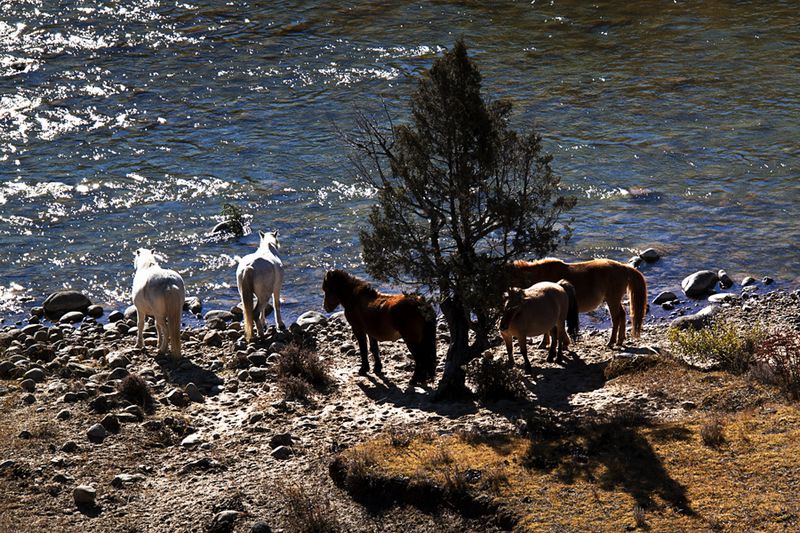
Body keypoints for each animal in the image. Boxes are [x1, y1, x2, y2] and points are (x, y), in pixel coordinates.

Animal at [510, 256, 648, 344]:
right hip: (613, 299)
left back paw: (611, 341)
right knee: (622, 314)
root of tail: (624, 268)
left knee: (616, 318)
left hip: (612, 299)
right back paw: (620, 340)